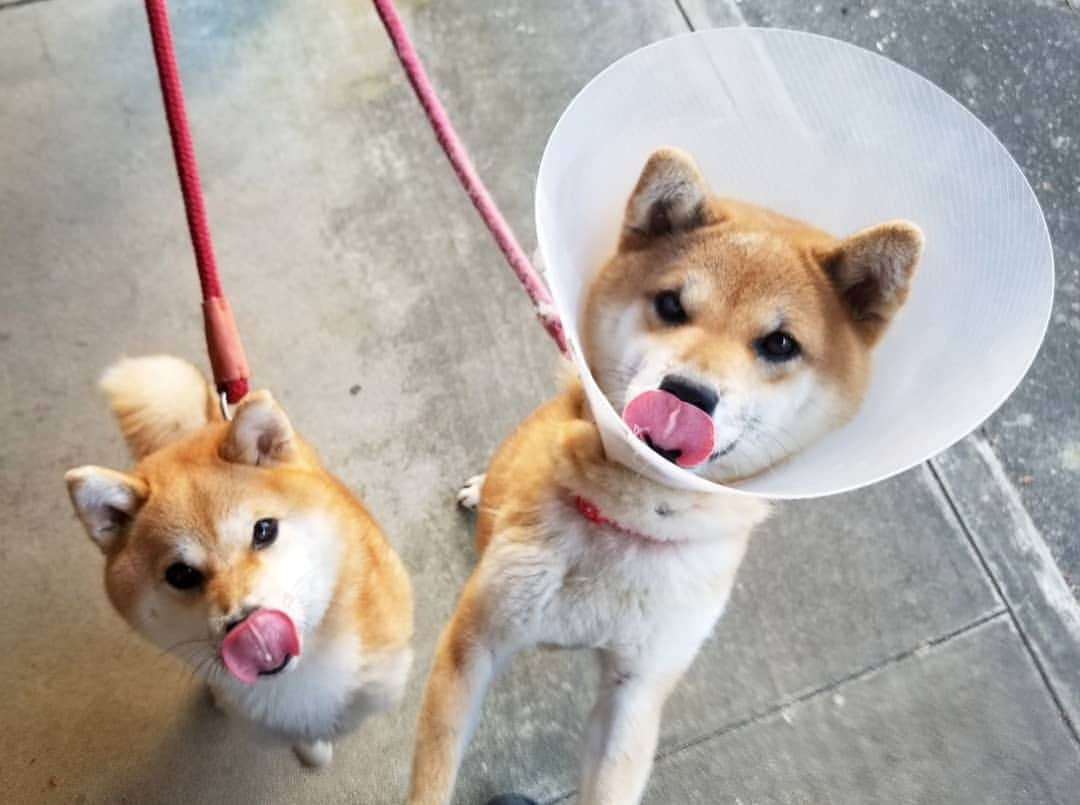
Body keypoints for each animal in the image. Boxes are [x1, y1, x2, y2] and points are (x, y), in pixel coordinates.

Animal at [406, 148, 920, 799]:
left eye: (780, 343)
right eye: (672, 305)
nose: (686, 397)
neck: (626, 520)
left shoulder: (637, 693)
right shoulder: (471, 647)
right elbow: (433, 777)